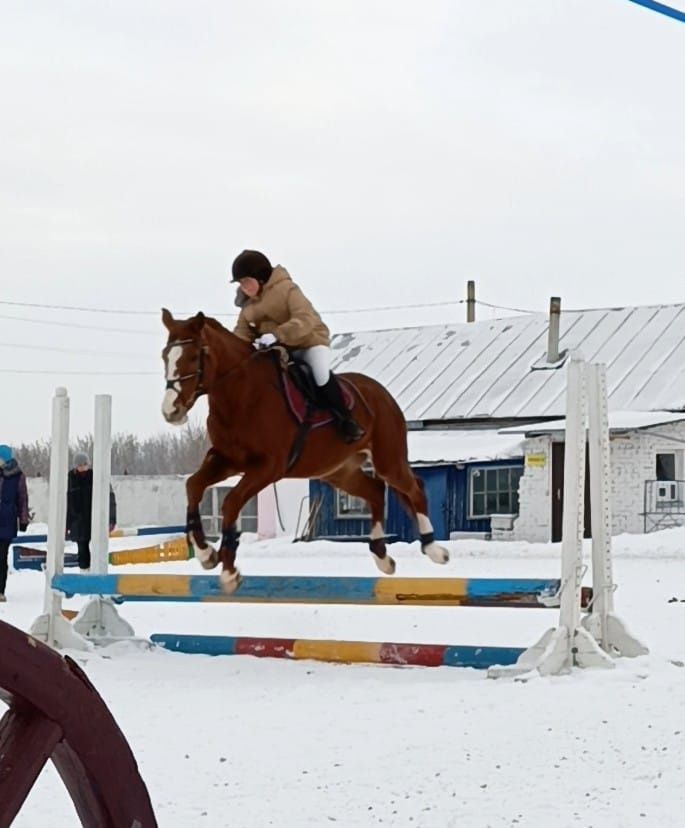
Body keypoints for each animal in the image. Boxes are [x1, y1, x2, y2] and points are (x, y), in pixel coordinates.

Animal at [160, 308, 448, 592]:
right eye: (165, 356)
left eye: (194, 356)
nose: (170, 411)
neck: (241, 395)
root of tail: (383, 394)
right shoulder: (227, 459)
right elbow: (194, 486)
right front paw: (205, 553)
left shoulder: (267, 468)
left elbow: (230, 502)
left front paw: (229, 570)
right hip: (338, 471)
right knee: (376, 491)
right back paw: (382, 556)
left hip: (388, 460)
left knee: (414, 487)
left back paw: (433, 549)